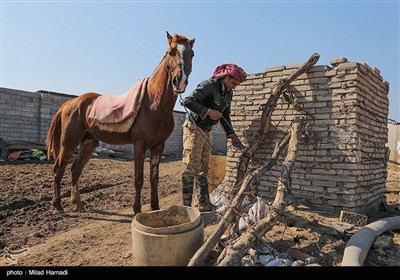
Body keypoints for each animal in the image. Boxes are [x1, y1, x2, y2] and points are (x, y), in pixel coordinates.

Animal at [46, 31, 196, 213]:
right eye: (170, 52)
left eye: (192, 54)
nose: (179, 80)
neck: (153, 104)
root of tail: (69, 103)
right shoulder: (139, 145)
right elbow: (139, 179)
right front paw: (137, 209)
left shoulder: (158, 146)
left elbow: (154, 178)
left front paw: (155, 207)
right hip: (69, 143)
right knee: (58, 169)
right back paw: (58, 206)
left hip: (87, 143)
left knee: (75, 170)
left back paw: (78, 204)